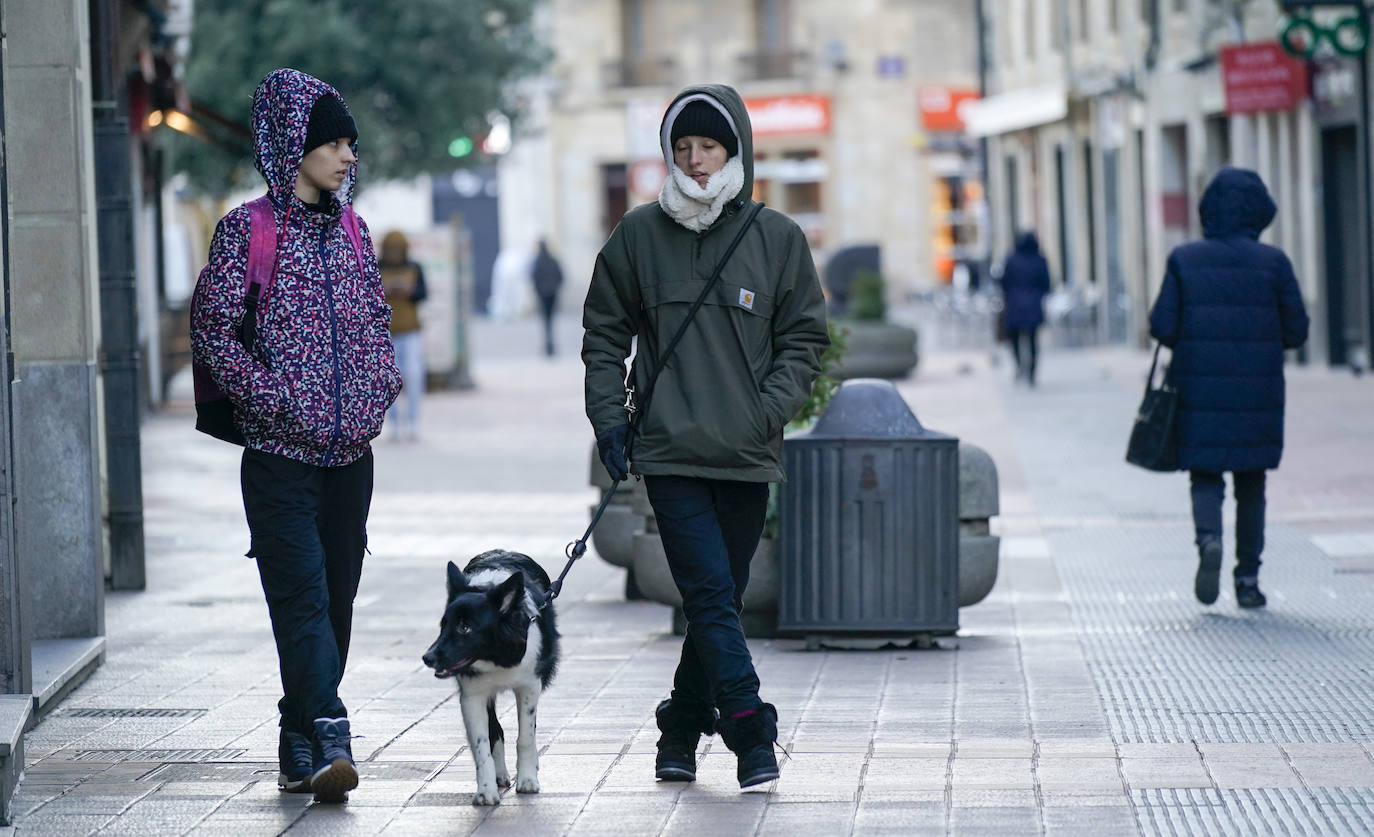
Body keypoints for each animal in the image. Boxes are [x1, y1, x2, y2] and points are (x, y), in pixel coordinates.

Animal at [417, 549, 557, 802]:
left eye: (465, 628)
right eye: (443, 626)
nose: (427, 658)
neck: (494, 658)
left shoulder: (529, 687)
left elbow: (526, 737)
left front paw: (527, 779)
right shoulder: (472, 696)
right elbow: (482, 745)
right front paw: (485, 790)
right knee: (496, 731)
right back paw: (499, 775)